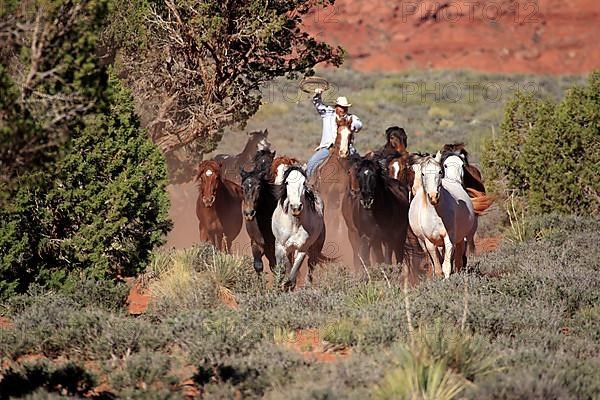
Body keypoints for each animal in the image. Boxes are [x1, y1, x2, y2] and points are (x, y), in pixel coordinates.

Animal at [408, 152, 478, 280]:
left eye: (440, 171)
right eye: (423, 173)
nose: (433, 197)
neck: (437, 215)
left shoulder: (449, 238)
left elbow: (446, 266)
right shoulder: (429, 242)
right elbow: (437, 265)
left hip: (460, 238)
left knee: (458, 259)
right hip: (423, 242)